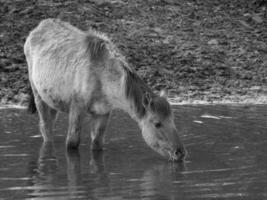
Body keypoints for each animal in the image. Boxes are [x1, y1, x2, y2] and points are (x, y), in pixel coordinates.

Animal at [24, 18, 186, 162]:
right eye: (157, 123)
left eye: (172, 119)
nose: (180, 152)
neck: (102, 79)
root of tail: (35, 30)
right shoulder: (76, 108)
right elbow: (71, 144)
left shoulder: (103, 113)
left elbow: (97, 145)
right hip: (38, 96)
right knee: (46, 129)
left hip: (51, 102)